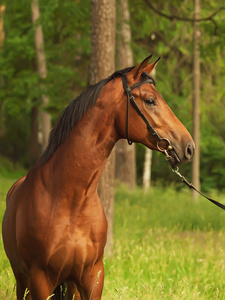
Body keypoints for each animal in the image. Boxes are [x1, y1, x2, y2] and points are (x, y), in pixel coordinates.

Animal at [1, 55, 194, 298]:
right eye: (150, 101)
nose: (189, 147)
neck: (70, 201)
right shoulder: (40, 280)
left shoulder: (93, 277)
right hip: (23, 282)